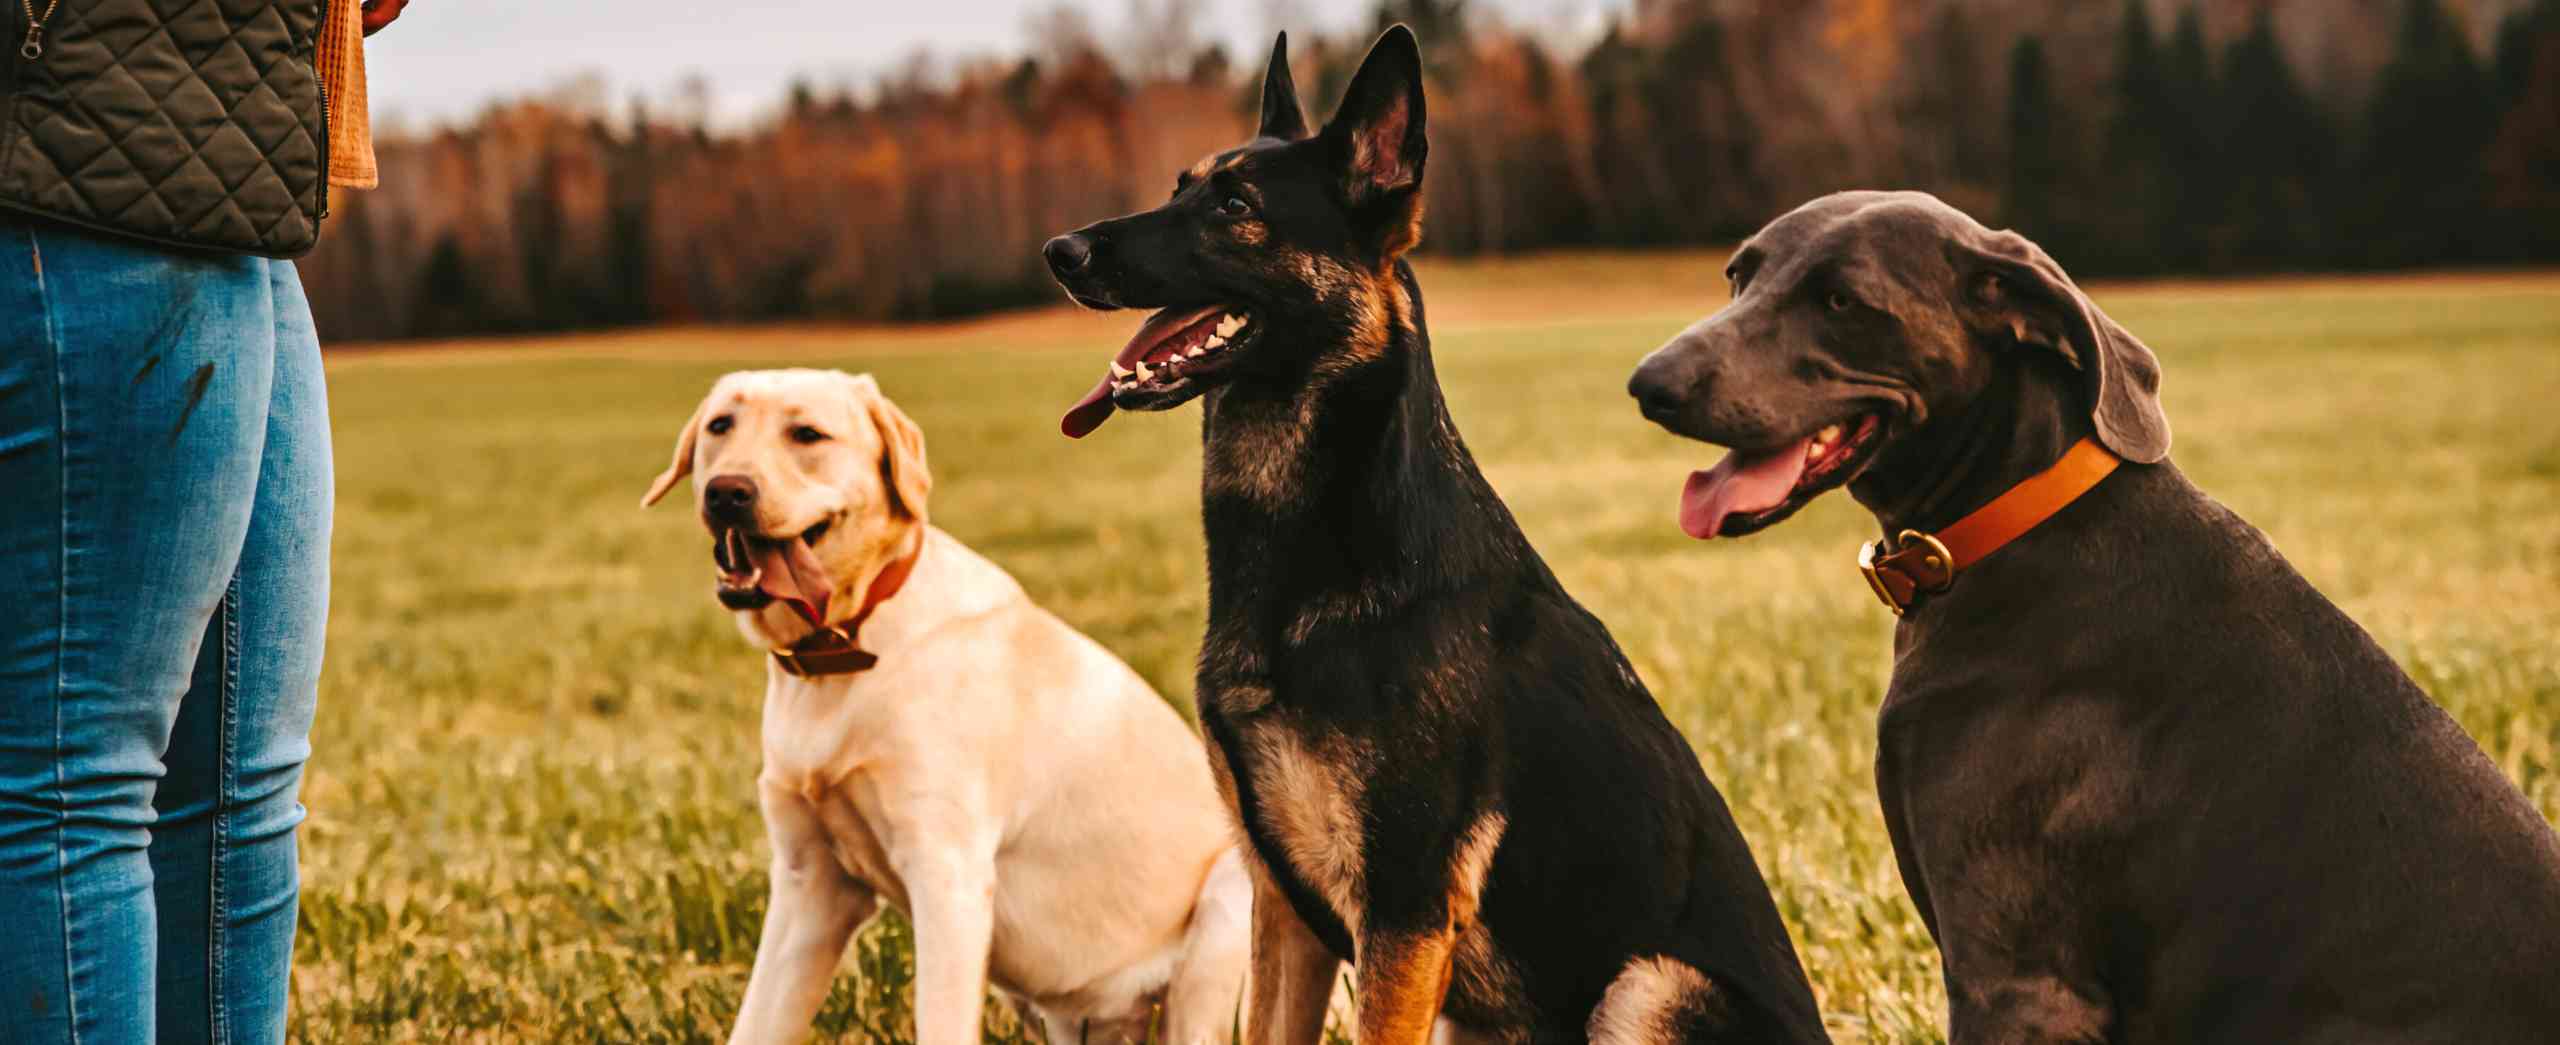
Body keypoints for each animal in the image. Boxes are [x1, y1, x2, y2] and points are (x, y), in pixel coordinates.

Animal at [1034, 26, 1822, 1045]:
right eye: (1180, 187)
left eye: (1236, 207)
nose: (1060, 250)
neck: (1331, 550)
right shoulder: (1286, 913)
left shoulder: (1403, 914)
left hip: (1649, 984)